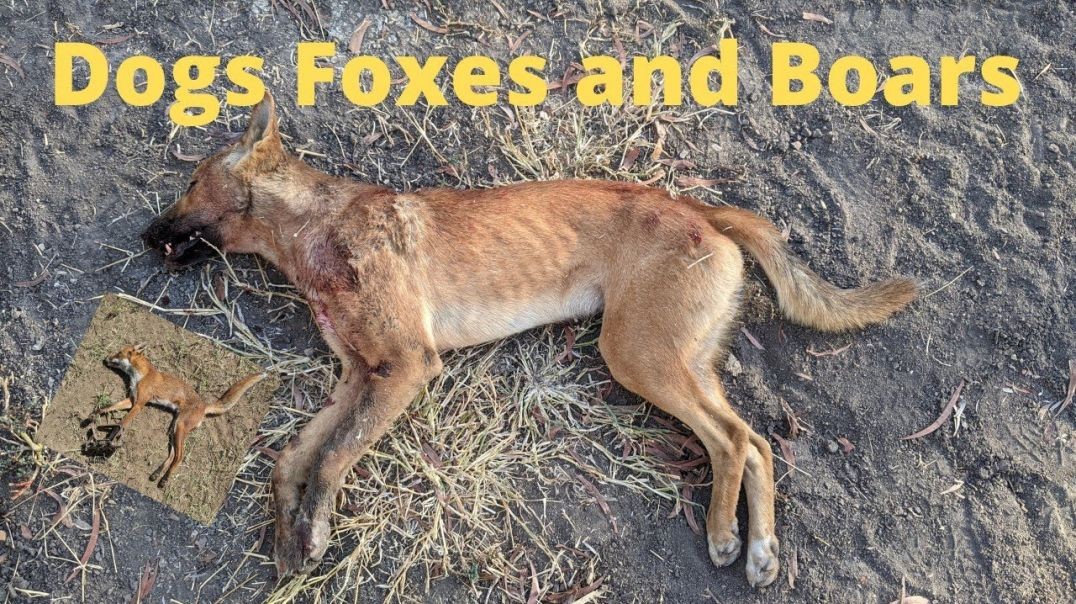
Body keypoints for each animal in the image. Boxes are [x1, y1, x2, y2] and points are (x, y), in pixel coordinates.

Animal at [87, 344, 267, 487]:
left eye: (119, 353)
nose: (105, 358)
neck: (141, 375)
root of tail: (204, 405)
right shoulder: (131, 400)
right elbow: (107, 407)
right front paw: (93, 416)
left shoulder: (139, 404)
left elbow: (121, 424)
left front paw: (108, 441)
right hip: (173, 429)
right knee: (173, 454)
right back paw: (157, 473)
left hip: (179, 427)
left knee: (180, 457)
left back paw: (165, 479)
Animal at [140, 92, 917, 586]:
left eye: (190, 180)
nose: (144, 236)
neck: (314, 231)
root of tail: (698, 208)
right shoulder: (361, 376)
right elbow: (290, 459)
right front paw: (285, 538)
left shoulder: (404, 369)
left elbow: (330, 459)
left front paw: (313, 530)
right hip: (683, 361)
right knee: (754, 441)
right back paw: (760, 549)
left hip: (637, 357)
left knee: (730, 441)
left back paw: (725, 536)